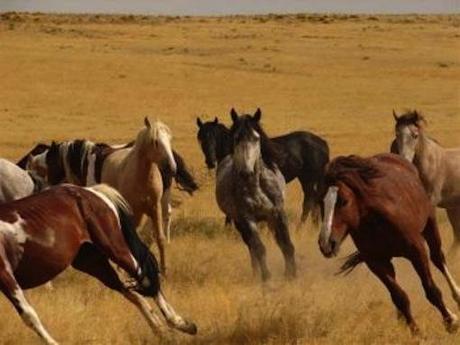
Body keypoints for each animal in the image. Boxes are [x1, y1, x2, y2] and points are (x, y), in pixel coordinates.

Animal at [0, 181, 196, 342]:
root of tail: (91, 192)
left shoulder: (6, 277)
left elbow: (29, 315)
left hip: (114, 248)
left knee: (145, 279)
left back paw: (180, 323)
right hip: (91, 262)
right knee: (132, 292)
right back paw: (163, 331)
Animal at [196, 107, 328, 226]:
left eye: (214, 137)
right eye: (201, 139)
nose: (210, 162)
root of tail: (322, 143)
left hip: (309, 179)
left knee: (309, 201)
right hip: (305, 179)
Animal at [215, 109, 296, 280]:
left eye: (256, 138)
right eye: (236, 138)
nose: (246, 172)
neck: (256, 187)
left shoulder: (278, 213)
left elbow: (287, 245)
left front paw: (291, 275)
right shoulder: (247, 218)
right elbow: (259, 248)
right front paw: (267, 278)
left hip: (269, 220)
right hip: (240, 223)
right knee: (251, 247)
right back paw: (256, 273)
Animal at [318, 153, 460, 334]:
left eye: (344, 201)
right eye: (321, 202)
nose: (326, 243)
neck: (375, 221)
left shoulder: (417, 251)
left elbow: (431, 290)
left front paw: (451, 321)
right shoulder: (376, 262)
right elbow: (399, 296)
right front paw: (415, 330)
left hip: (430, 225)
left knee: (438, 259)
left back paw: (457, 296)